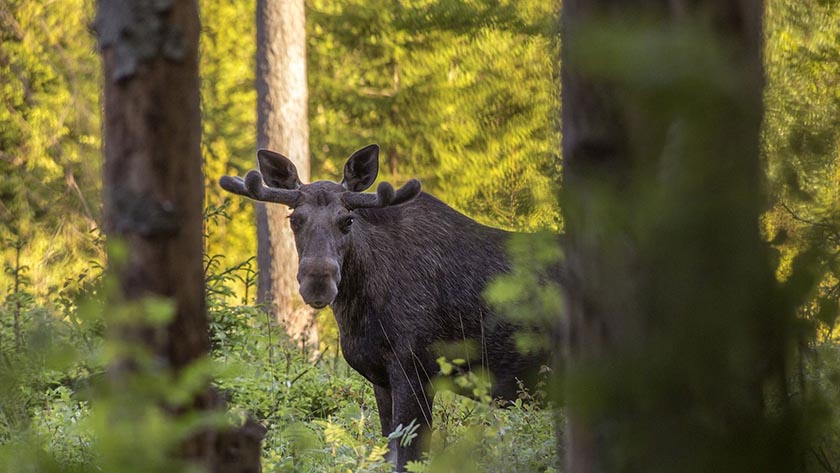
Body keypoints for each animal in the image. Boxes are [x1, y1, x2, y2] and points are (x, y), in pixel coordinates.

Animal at [220, 144, 556, 468]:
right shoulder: (381, 378)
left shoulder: (416, 369)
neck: (359, 312)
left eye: (348, 220)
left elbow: (408, 458)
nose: (317, 282)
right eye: (294, 219)